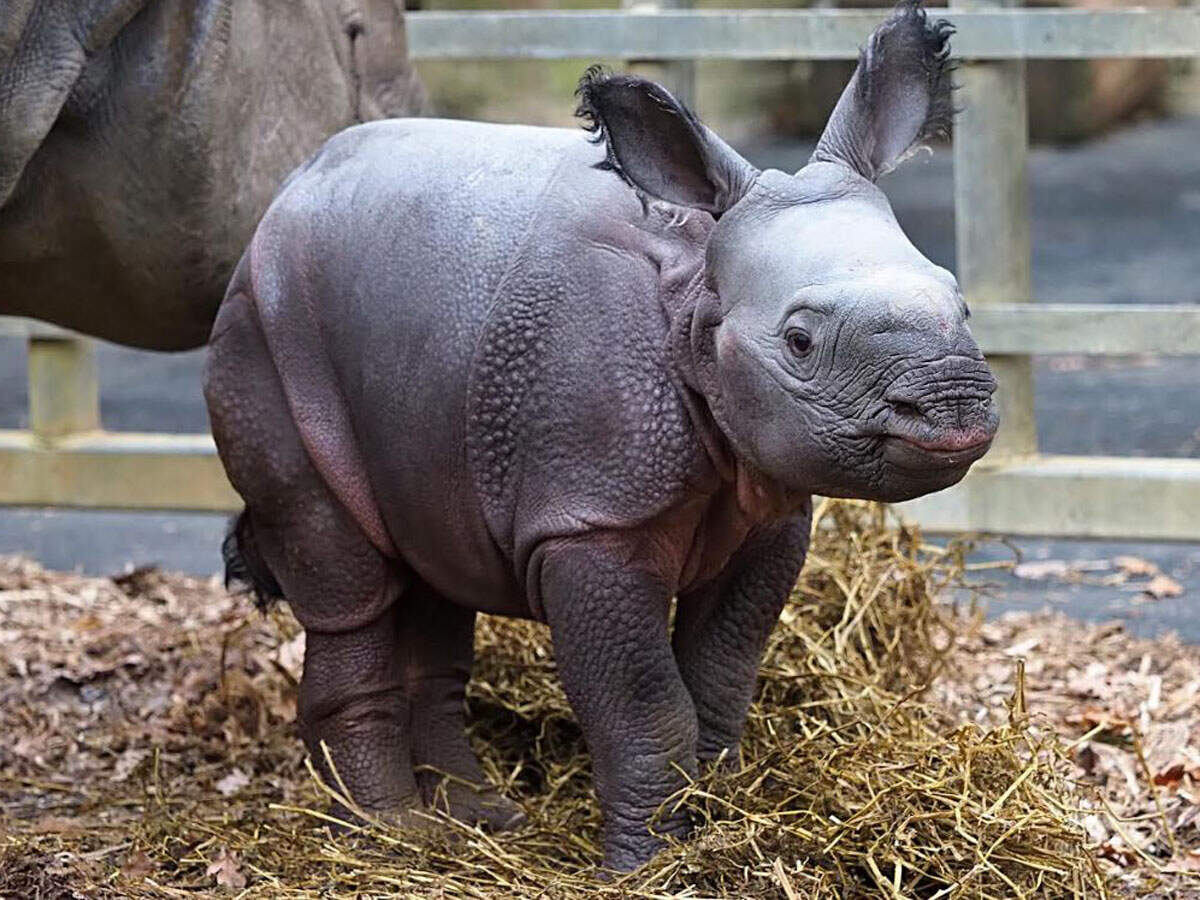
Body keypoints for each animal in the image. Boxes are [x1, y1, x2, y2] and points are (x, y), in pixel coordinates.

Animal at [205, 0, 998, 871]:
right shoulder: (588, 519)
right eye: (799, 341)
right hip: (262, 329)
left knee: (431, 570)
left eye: (960, 302)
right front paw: (650, 864)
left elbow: (719, 679)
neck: (697, 296)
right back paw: (391, 840)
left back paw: (479, 822)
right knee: (348, 585)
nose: (955, 403)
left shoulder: (769, 510)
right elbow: (646, 705)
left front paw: (719, 821)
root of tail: (281, 198)